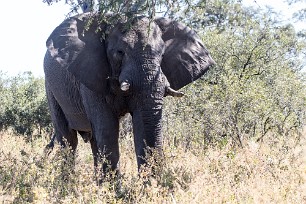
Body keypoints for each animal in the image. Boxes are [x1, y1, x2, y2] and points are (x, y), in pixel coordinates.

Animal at [44, 11, 215, 178]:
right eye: (120, 52)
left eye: (162, 55)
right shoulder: (90, 77)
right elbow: (107, 129)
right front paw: (114, 188)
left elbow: (142, 124)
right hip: (50, 88)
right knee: (68, 139)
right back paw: (68, 184)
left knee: (92, 141)